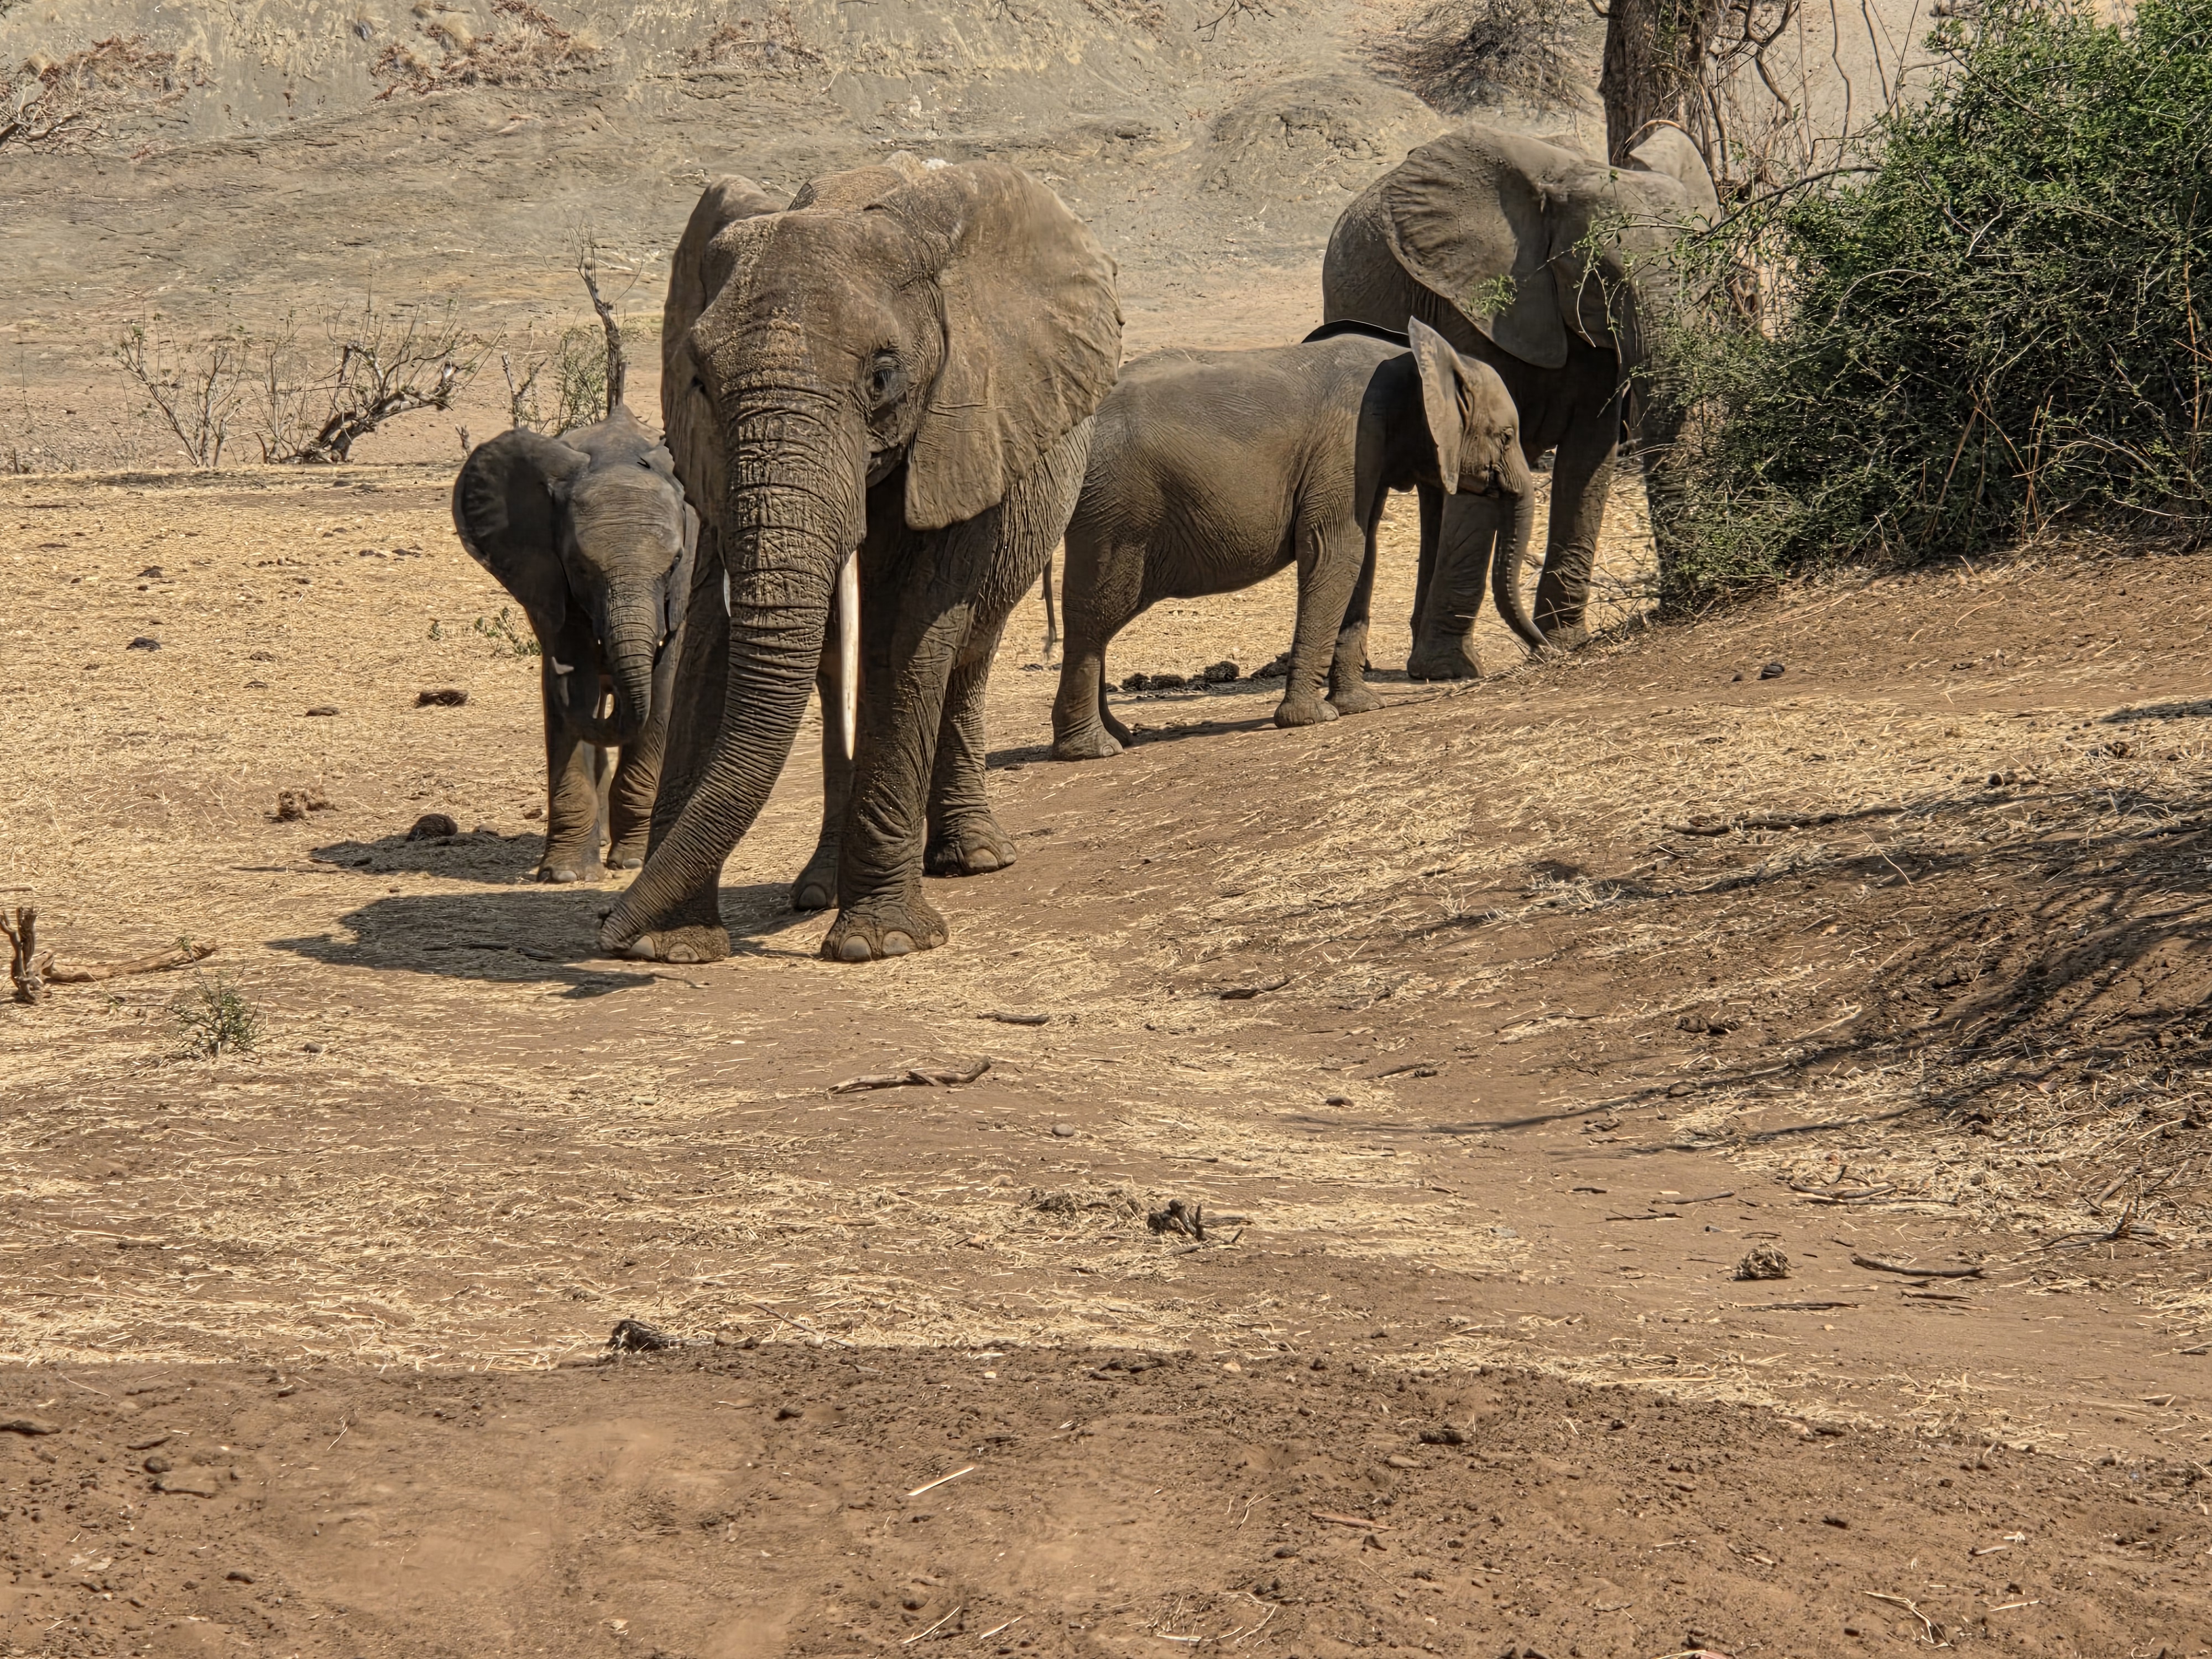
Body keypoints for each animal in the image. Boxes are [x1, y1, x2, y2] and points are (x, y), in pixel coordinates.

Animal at [451, 407, 697, 882]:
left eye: (675, 561)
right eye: (580, 567)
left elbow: (662, 690)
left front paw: (634, 861)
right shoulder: (547, 578)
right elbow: (575, 680)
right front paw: (567, 874)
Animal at [597, 154, 1123, 965]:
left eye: (883, 378)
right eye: (700, 383)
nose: (608, 931)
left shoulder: (969, 423)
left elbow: (915, 629)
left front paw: (881, 945)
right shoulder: (710, 464)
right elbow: (713, 638)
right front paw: (673, 946)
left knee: (964, 656)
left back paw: (973, 859)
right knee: (839, 674)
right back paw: (819, 890)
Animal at [1050, 318, 1535, 761]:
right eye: (1507, 436)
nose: (1544, 651)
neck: (1417, 360)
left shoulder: (1370, 453)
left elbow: (1362, 557)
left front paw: (1361, 707)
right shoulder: (1349, 441)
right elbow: (1337, 552)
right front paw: (1313, 719)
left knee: (1100, 620)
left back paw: (1117, 736)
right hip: (1118, 509)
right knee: (1096, 616)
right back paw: (1094, 750)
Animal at [1322, 120, 1718, 675]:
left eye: (1700, 272)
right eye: (1601, 272)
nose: (1680, 602)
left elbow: (1589, 457)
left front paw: (1568, 642)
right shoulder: (1473, 304)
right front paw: (1452, 670)